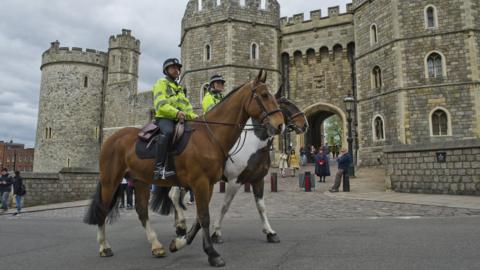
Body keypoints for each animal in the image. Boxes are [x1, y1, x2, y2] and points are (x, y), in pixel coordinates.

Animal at [84, 70, 284, 268]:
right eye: (264, 95)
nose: (280, 125)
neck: (210, 136)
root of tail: (112, 138)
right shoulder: (204, 182)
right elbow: (205, 217)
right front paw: (212, 254)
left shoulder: (210, 184)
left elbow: (201, 217)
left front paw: (179, 243)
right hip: (111, 180)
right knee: (103, 209)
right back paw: (104, 246)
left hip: (141, 181)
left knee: (142, 211)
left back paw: (156, 245)